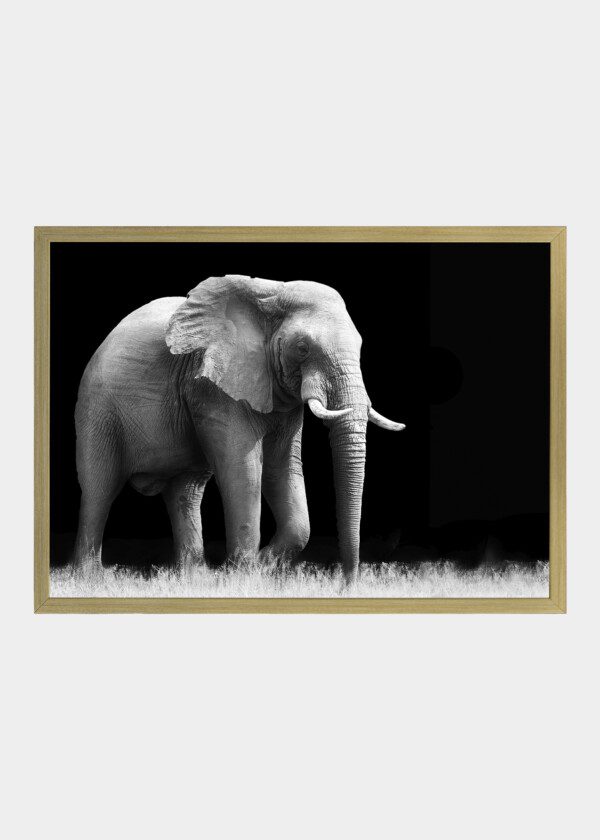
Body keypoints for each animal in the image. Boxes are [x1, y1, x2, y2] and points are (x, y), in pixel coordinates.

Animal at [73, 274, 404, 583]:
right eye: (302, 348)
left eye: (360, 346)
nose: (346, 583)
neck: (272, 292)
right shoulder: (213, 386)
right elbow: (242, 468)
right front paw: (245, 574)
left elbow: (281, 467)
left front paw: (263, 566)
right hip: (98, 410)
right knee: (99, 487)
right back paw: (91, 578)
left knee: (186, 492)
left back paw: (195, 578)